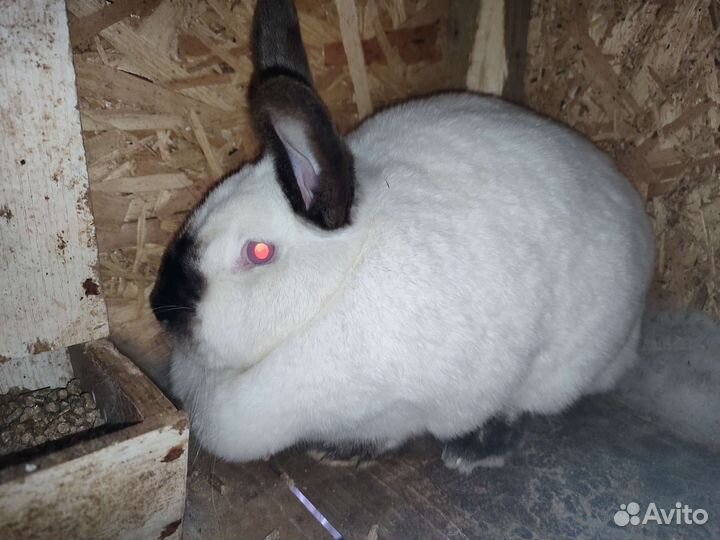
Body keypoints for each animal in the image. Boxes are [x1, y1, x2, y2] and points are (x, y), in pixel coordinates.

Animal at [150, 0, 655, 474]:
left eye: (257, 251)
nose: (158, 305)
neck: (337, 285)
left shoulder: (405, 402)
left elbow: (395, 428)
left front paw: (340, 451)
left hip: (557, 369)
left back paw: (473, 451)